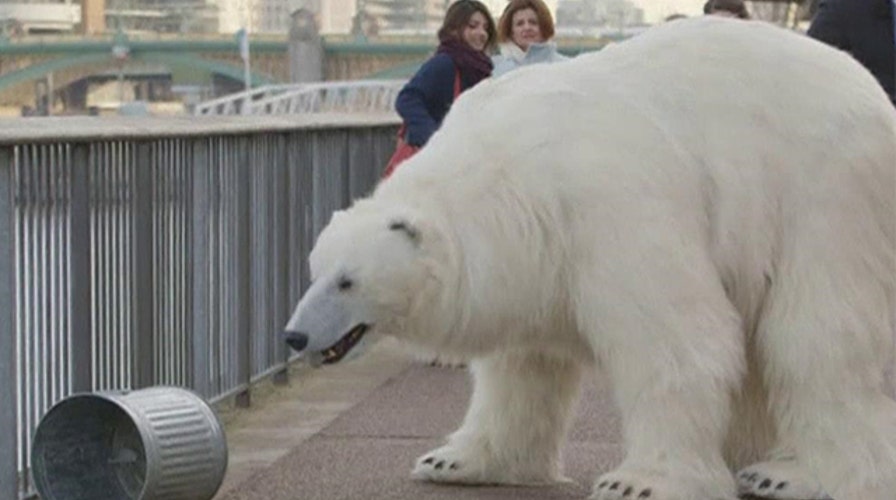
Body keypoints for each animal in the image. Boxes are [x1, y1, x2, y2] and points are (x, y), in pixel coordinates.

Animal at [283, 17, 896, 500]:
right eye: (314, 272)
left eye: (347, 281)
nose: (293, 336)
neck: (514, 176)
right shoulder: (534, 249)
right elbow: (521, 366)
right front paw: (454, 460)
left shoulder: (611, 203)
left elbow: (676, 338)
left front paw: (640, 482)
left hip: (826, 194)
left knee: (817, 336)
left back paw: (796, 474)